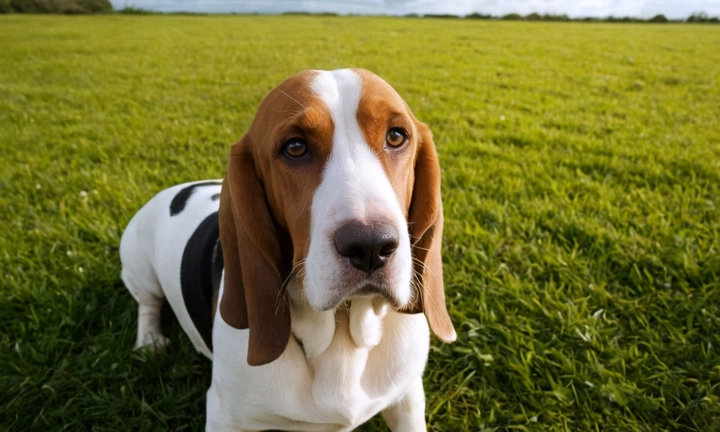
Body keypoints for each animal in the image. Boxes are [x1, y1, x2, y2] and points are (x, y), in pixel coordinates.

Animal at [119, 69, 456, 430]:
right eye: (295, 147)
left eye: (396, 137)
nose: (371, 245)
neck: (341, 334)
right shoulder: (226, 417)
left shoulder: (408, 397)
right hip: (139, 266)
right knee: (148, 304)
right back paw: (150, 340)